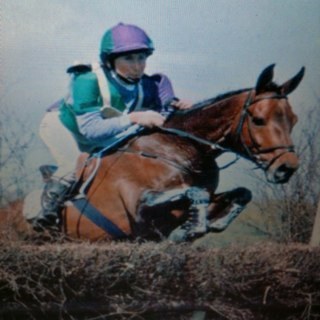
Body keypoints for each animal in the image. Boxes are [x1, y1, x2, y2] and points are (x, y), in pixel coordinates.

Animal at [56, 63, 304, 241]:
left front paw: (213, 223)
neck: (180, 150)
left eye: (294, 120)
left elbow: (242, 193)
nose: (286, 168)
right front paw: (187, 231)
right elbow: (196, 193)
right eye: (259, 120)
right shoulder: (138, 206)